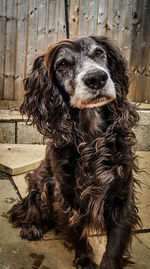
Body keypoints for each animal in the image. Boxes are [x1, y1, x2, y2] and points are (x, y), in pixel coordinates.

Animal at [8, 36, 140, 268]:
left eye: (98, 53)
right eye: (62, 64)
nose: (97, 78)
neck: (92, 135)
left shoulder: (122, 193)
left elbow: (115, 243)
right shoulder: (66, 193)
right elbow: (76, 229)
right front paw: (85, 258)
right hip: (41, 184)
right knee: (25, 210)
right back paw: (32, 226)